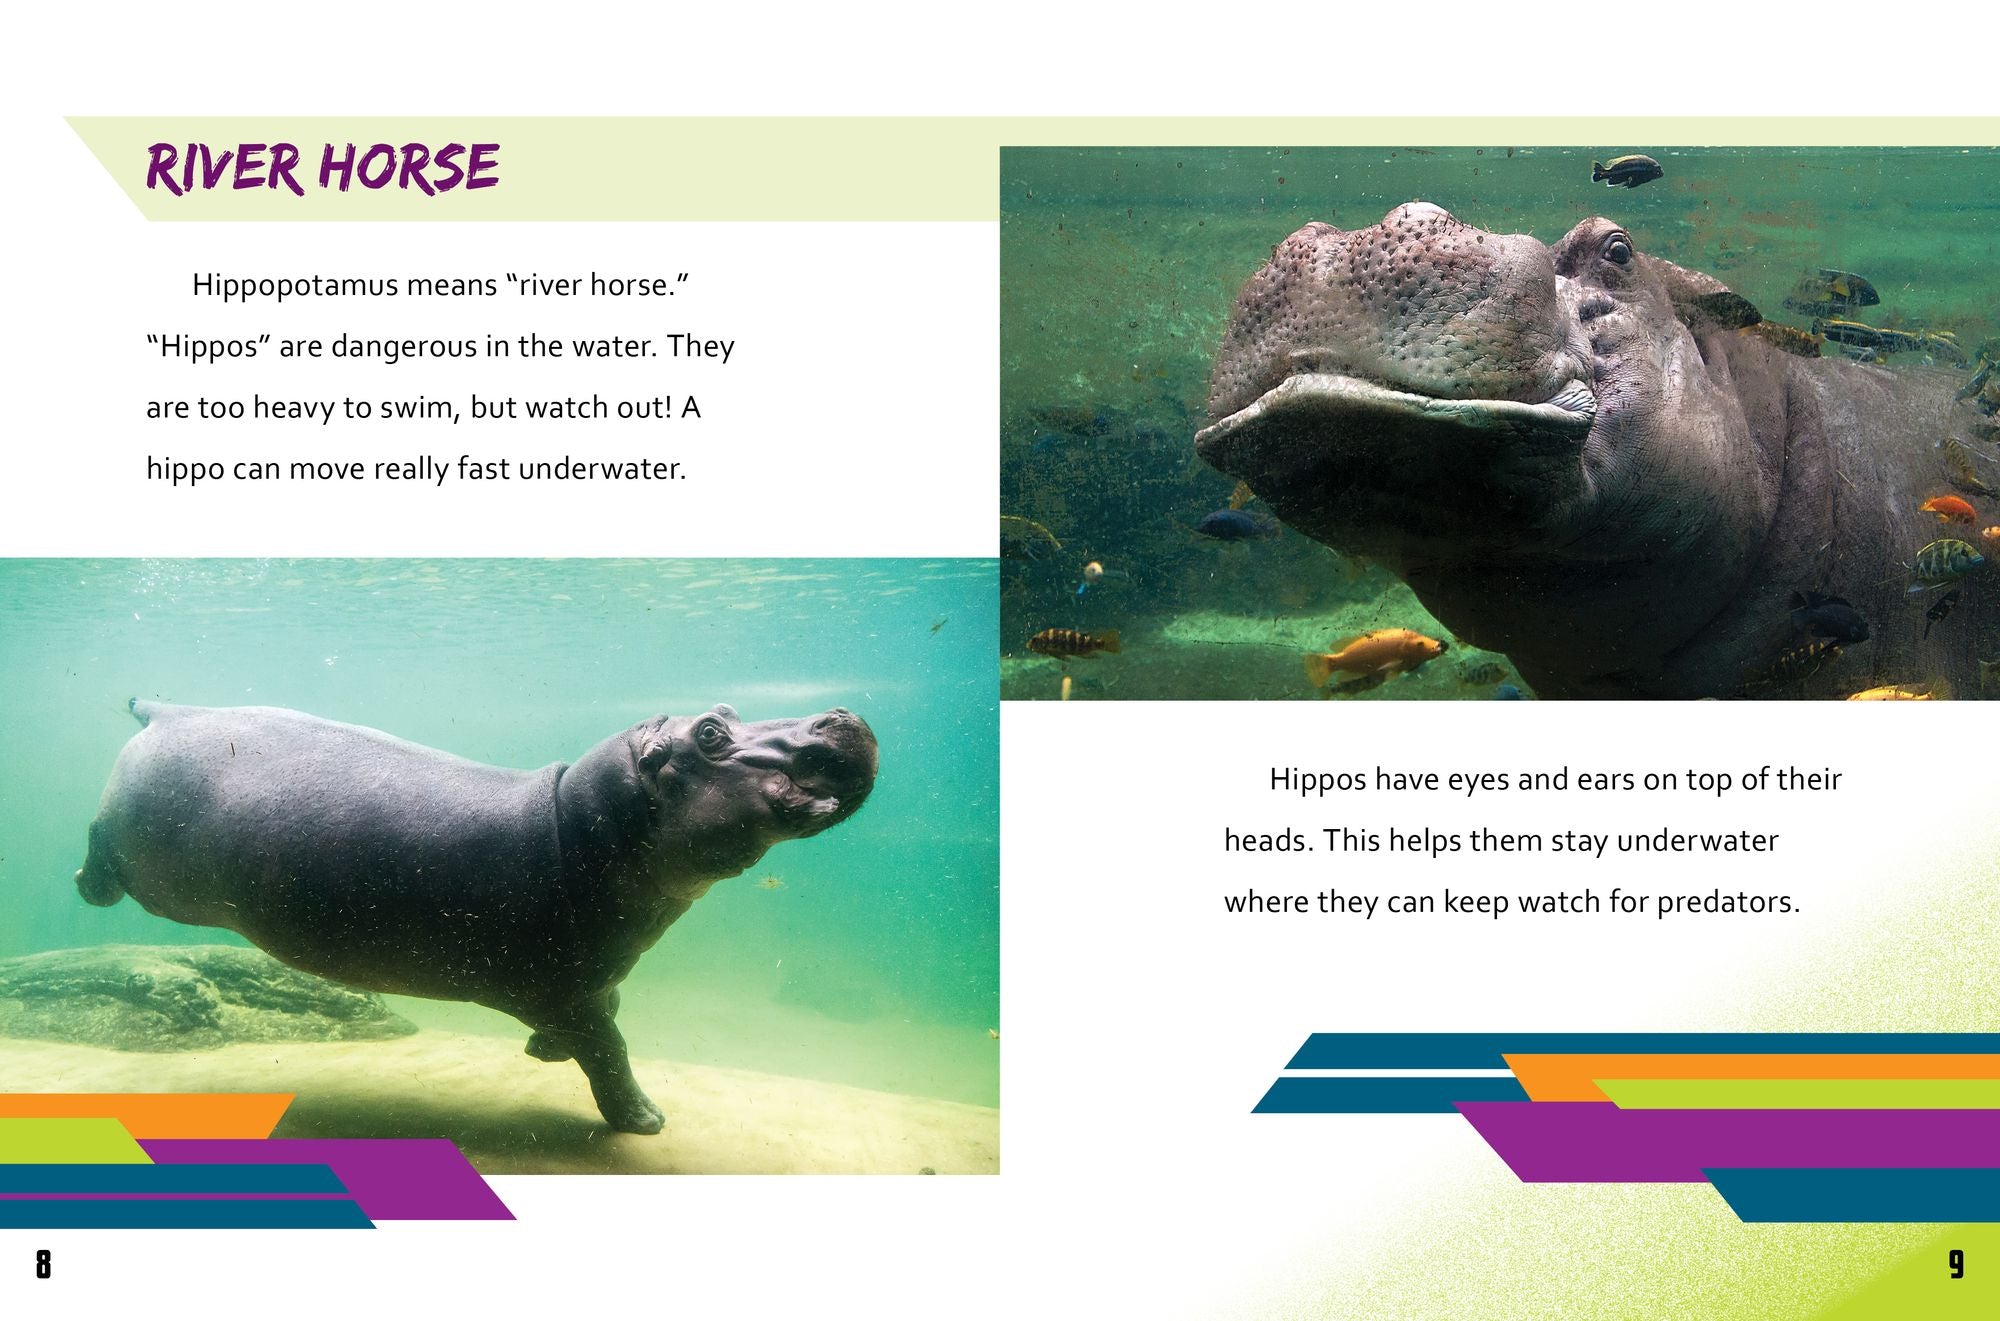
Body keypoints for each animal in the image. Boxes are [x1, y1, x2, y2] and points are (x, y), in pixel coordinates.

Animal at [75, 700, 878, 1133]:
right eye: (710, 733)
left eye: (731, 713)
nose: (841, 716)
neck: (581, 823)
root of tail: (170, 710)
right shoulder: (565, 991)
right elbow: (610, 1050)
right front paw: (646, 1120)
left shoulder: (592, 982)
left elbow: (608, 1016)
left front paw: (542, 1055)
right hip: (157, 874)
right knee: (101, 850)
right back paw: (88, 889)